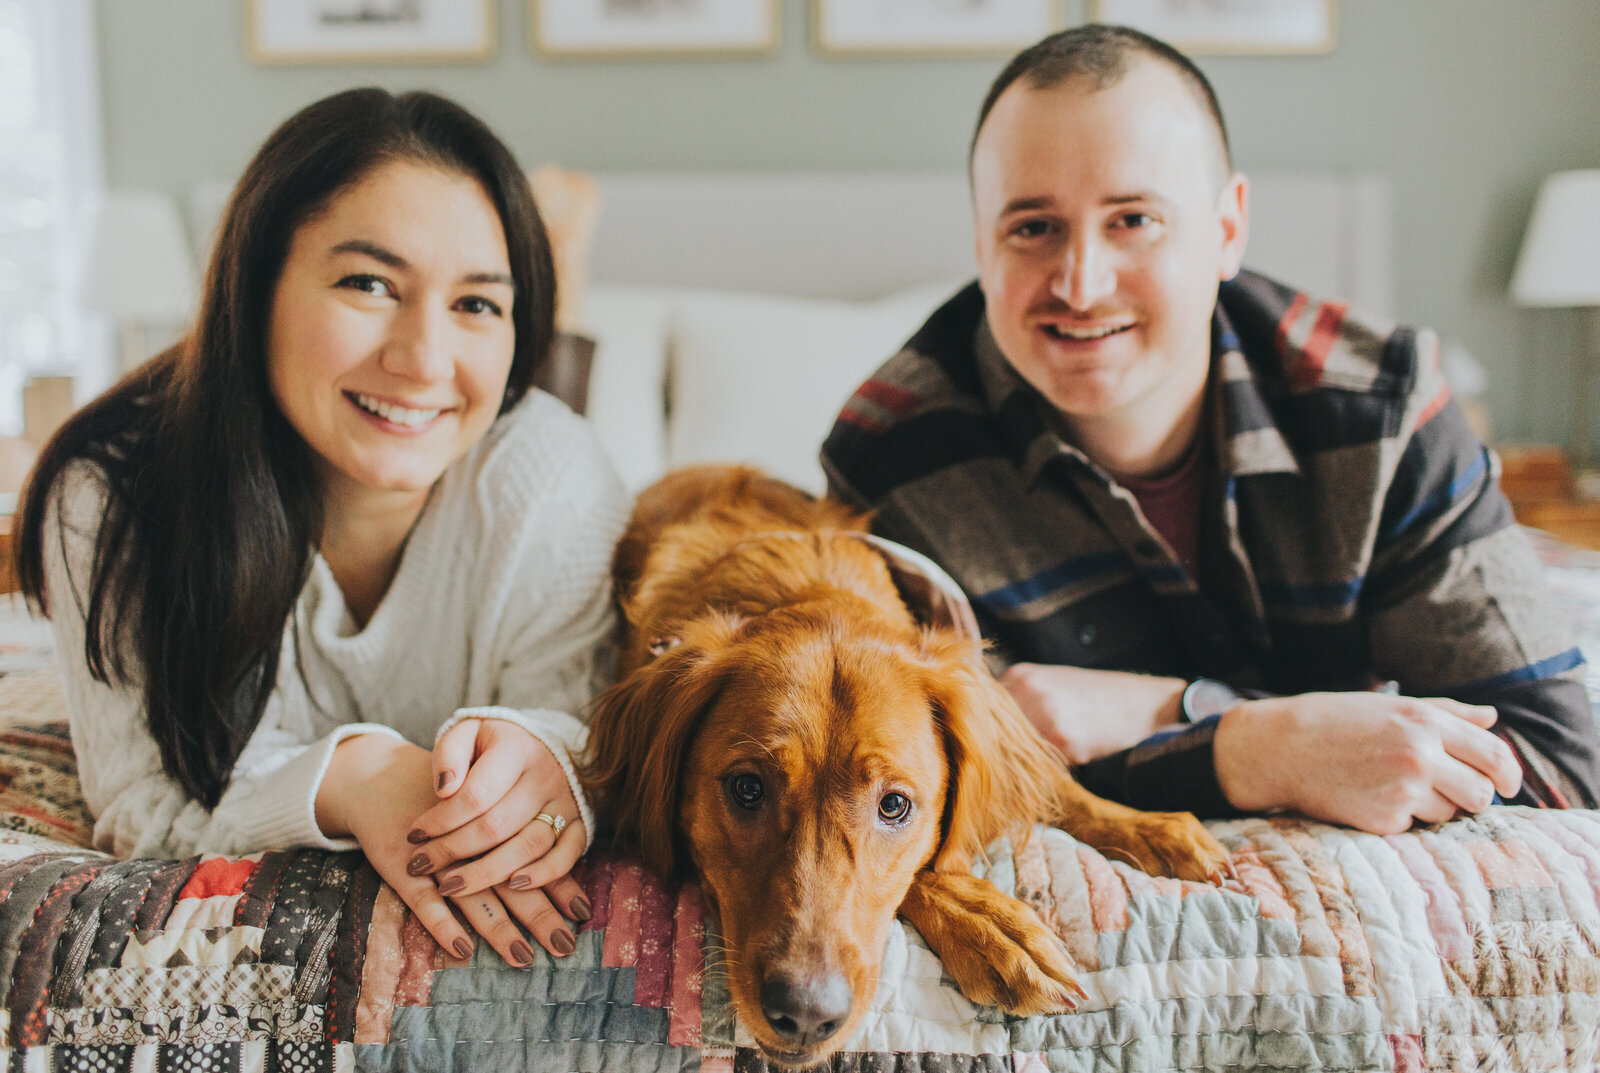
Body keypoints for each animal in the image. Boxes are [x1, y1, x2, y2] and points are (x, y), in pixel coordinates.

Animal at [582, 466, 1228, 1068]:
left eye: (894, 804)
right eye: (746, 788)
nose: (806, 1015)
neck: (805, 582)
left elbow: (1054, 789)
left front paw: (1152, 828)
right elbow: (928, 870)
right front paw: (988, 922)